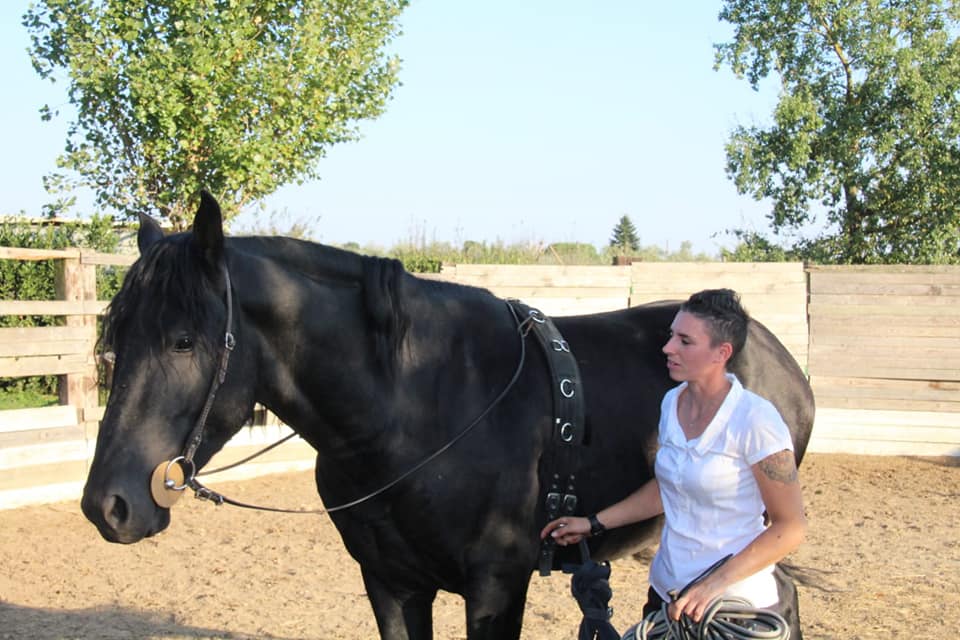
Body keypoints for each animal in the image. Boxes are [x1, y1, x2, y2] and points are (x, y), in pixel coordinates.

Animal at [81, 192, 814, 640]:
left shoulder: (495, 590)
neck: (413, 411)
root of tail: (771, 349)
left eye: (183, 340)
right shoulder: (391, 585)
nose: (108, 506)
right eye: (117, 336)